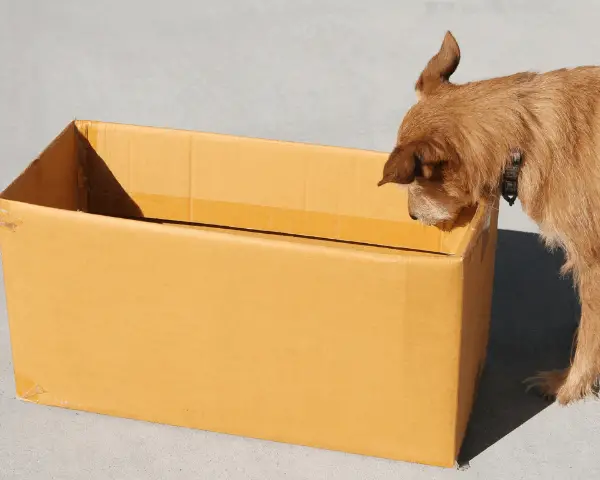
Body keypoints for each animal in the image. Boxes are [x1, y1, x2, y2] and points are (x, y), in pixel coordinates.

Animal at [378, 31, 600, 404]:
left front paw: (566, 386)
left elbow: (588, 342)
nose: (411, 215)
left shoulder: (594, 262)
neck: (526, 138)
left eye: (417, 180)